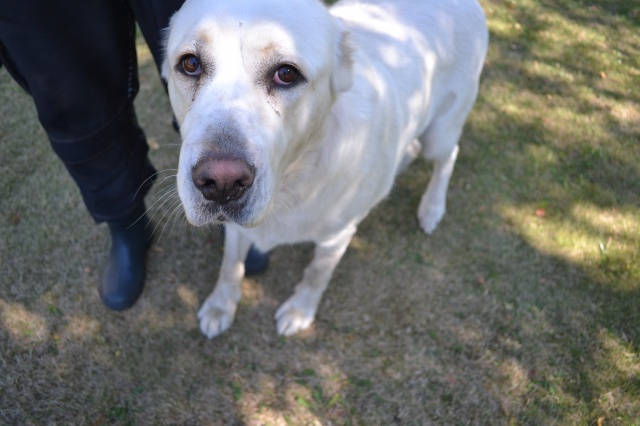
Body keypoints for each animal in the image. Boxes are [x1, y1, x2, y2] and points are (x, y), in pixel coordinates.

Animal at [162, 0, 488, 338]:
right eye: (190, 64)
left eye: (287, 73)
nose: (222, 182)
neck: (292, 181)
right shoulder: (237, 230)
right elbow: (230, 266)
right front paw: (220, 304)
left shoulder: (337, 237)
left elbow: (317, 274)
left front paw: (300, 310)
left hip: (440, 133)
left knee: (449, 155)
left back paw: (432, 208)